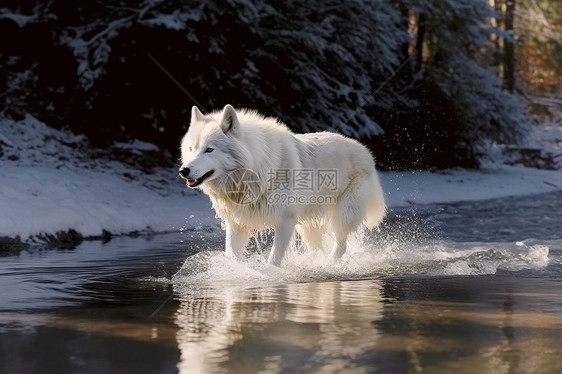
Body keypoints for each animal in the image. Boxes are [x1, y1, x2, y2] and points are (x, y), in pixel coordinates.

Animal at [179, 105, 384, 266]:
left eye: (209, 149)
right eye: (191, 149)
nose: (183, 171)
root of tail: (365, 150)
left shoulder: (285, 221)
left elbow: (274, 259)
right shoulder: (237, 224)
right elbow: (232, 256)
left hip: (343, 214)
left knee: (341, 245)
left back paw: (328, 265)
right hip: (308, 224)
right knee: (317, 248)